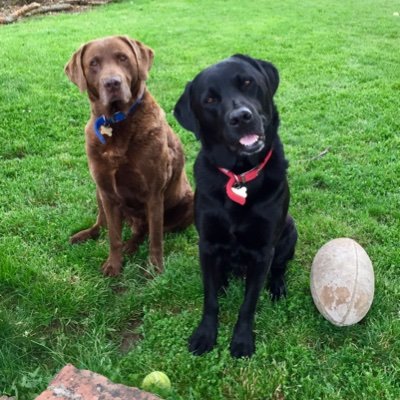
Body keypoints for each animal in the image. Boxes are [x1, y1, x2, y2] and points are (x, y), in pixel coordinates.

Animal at [65, 36, 194, 276]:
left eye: (123, 58)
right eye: (93, 63)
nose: (112, 83)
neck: (116, 122)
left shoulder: (154, 193)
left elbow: (155, 237)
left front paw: (155, 268)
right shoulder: (107, 191)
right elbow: (113, 236)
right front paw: (114, 266)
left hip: (188, 203)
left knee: (144, 230)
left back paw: (131, 246)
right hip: (98, 192)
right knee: (102, 224)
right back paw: (85, 235)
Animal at [174, 54, 296, 358]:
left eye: (248, 83)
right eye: (209, 100)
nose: (241, 117)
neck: (239, 175)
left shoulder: (263, 251)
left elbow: (248, 303)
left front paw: (241, 340)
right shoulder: (206, 244)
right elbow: (209, 298)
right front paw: (205, 334)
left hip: (290, 231)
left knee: (279, 267)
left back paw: (277, 287)